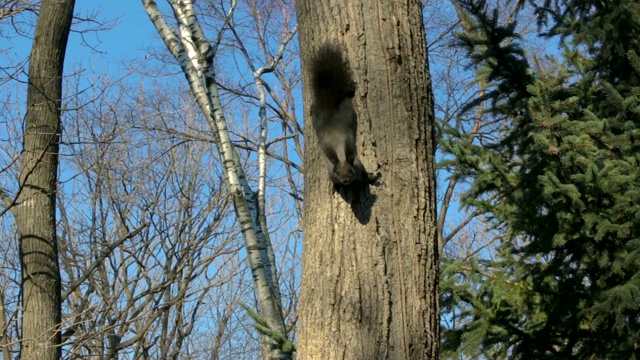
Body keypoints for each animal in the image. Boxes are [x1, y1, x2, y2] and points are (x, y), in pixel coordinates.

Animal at [308, 43, 376, 186]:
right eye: (337, 173)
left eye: (351, 170)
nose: (345, 180)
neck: (339, 152)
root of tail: (329, 106)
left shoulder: (356, 161)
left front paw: (370, 177)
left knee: (347, 92)